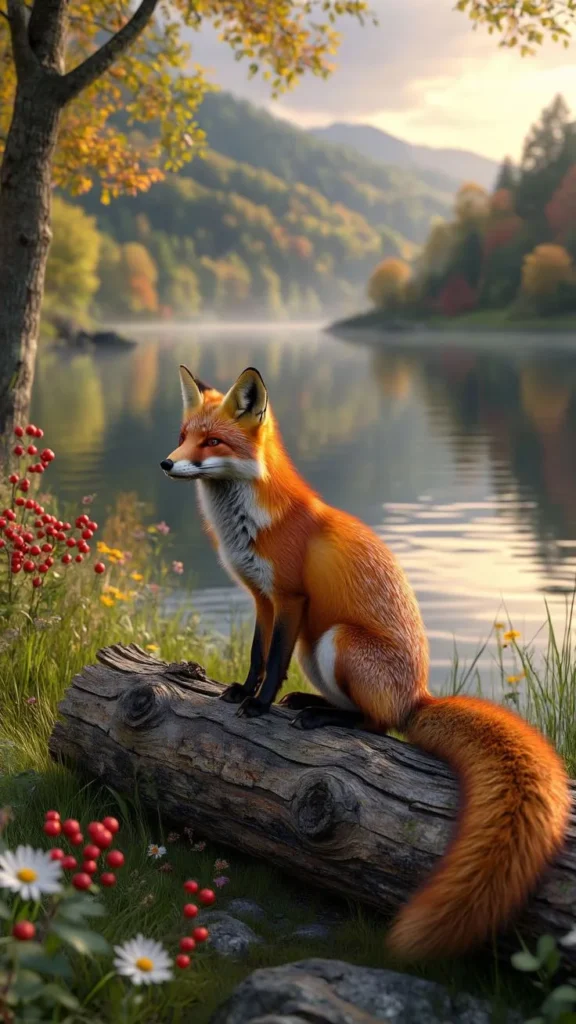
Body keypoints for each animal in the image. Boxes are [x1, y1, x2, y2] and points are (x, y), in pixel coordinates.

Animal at [160, 364, 570, 961]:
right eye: (185, 434)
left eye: (212, 442)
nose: (167, 463)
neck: (252, 524)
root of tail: (419, 695)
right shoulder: (261, 599)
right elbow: (258, 655)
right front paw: (240, 691)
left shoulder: (290, 599)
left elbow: (273, 660)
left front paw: (259, 707)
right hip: (316, 649)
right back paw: (309, 703)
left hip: (335, 638)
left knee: (378, 725)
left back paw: (323, 716)